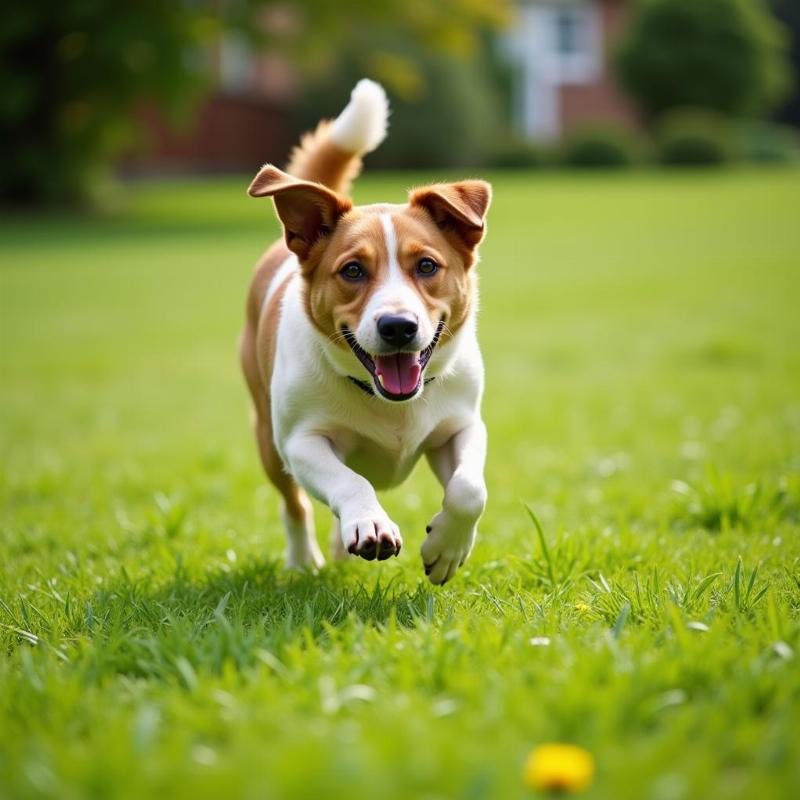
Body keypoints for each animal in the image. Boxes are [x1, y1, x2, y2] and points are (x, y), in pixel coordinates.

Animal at [238, 79, 490, 580]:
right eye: (352, 271)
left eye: (427, 265)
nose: (398, 326)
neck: (390, 404)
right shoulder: (300, 441)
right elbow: (348, 482)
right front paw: (371, 522)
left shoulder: (463, 425)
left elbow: (470, 490)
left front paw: (446, 548)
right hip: (267, 439)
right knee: (295, 505)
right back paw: (304, 561)